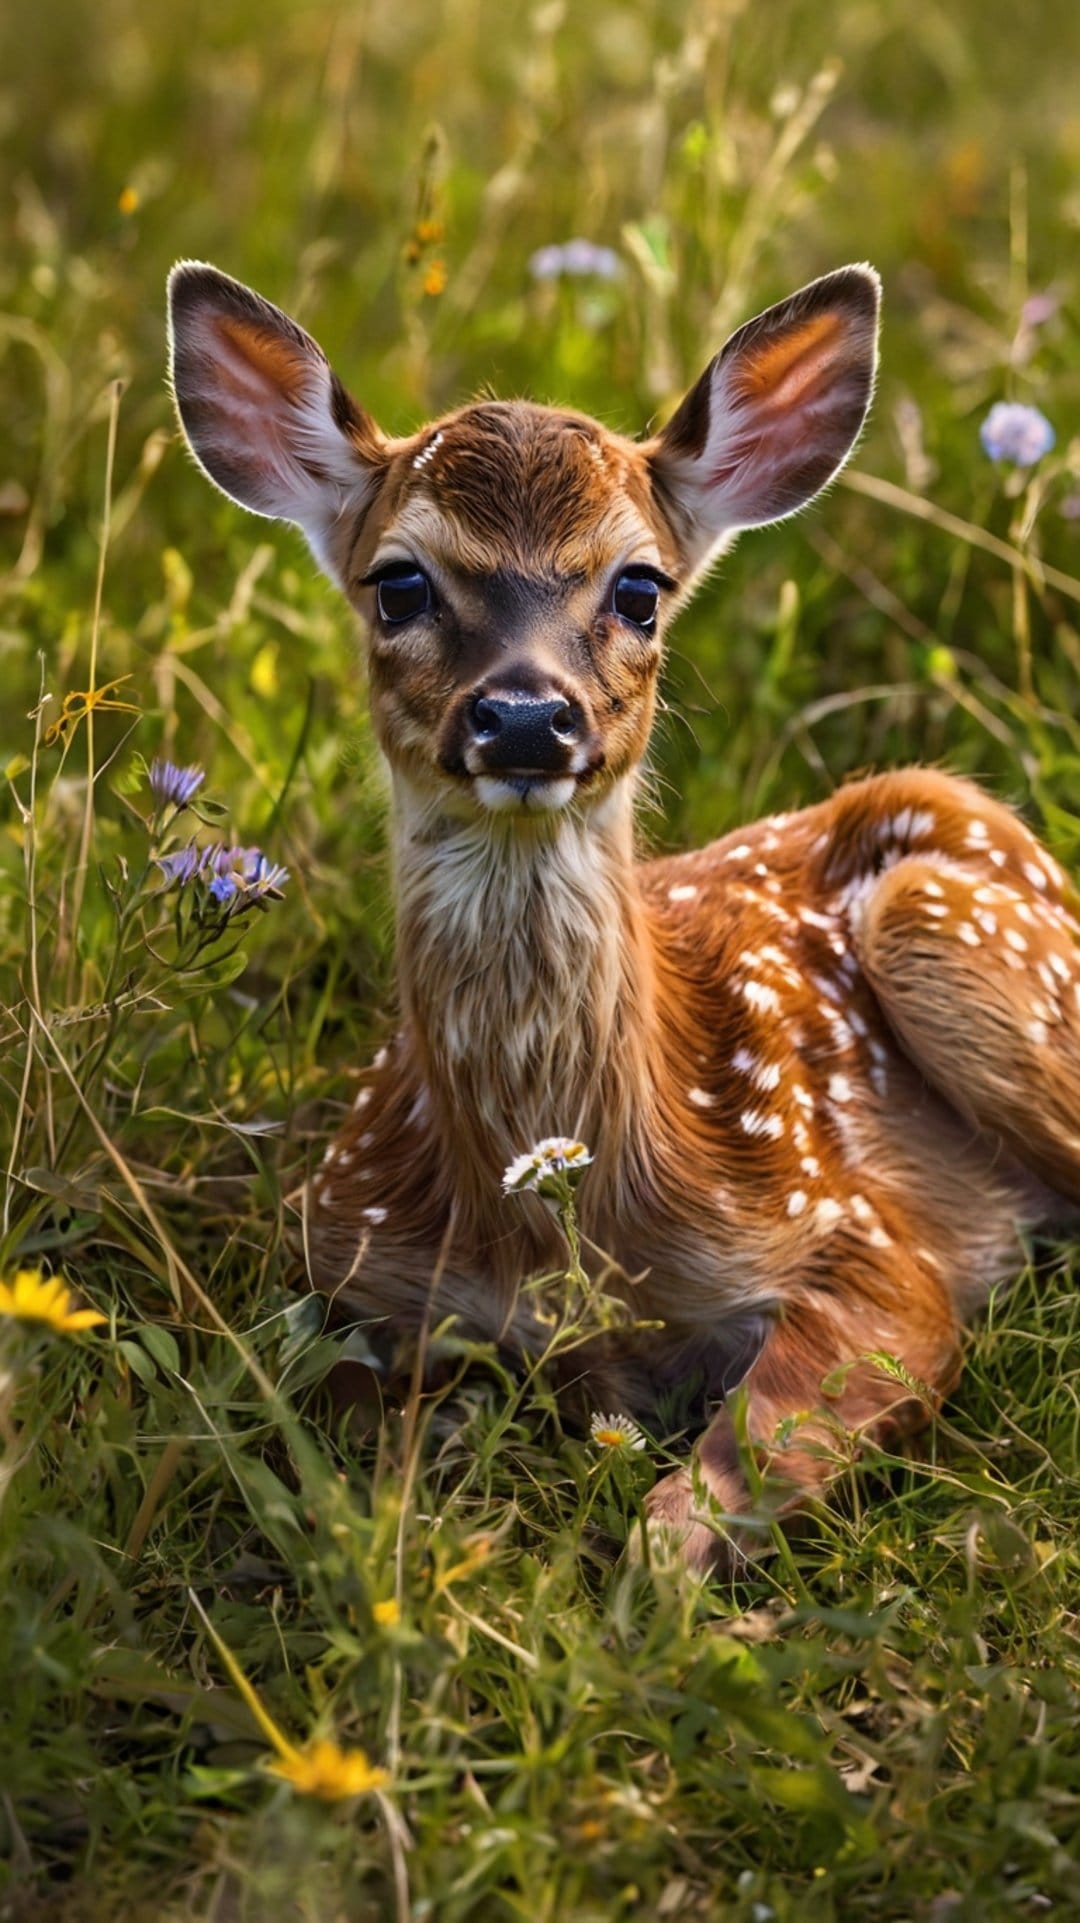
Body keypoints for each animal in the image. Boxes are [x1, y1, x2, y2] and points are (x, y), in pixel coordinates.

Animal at [167, 258, 1080, 1570]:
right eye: (399, 583)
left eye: (639, 588)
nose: (524, 716)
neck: (565, 1242)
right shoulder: (344, 1252)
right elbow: (348, 1442)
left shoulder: (857, 1232)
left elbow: (699, 1505)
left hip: (950, 932)